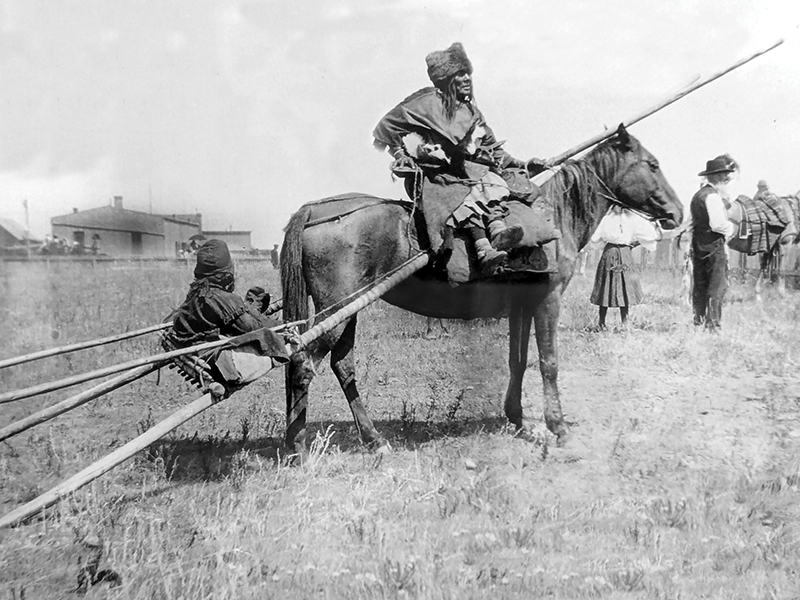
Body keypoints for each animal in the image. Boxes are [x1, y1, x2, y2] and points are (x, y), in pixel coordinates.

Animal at [280, 126, 680, 454]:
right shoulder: (547, 300)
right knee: (302, 362)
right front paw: (558, 427)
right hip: (336, 314)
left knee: (340, 364)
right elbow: (548, 363)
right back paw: (297, 448)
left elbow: (518, 360)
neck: (553, 216)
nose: (676, 213)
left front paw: (517, 418)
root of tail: (315, 212)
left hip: (348, 312)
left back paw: (372, 439)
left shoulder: (522, 305)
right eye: (653, 164)